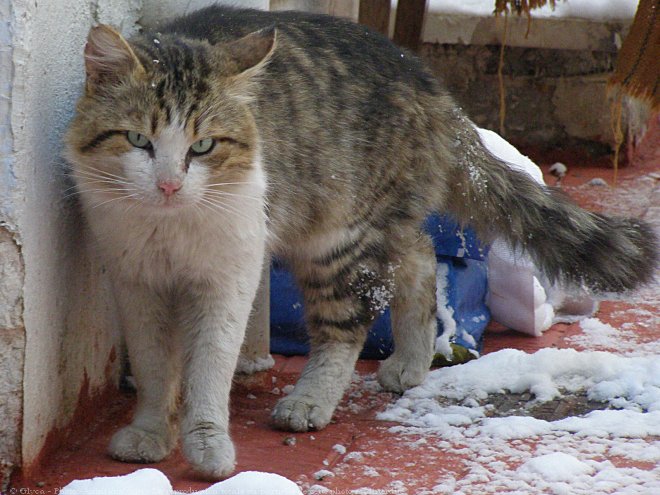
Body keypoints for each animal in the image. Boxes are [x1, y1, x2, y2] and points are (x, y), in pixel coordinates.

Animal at [64, 5, 656, 482]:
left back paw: (310, 400)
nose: (168, 185)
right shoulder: (135, 281)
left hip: (338, 241)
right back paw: (411, 361)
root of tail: (428, 81)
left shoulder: (229, 276)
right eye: (138, 140)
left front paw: (207, 445)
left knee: (348, 325)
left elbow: (209, 366)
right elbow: (155, 368)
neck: (168, 229)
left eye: (204, 146)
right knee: (419, 257)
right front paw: (150, 433)